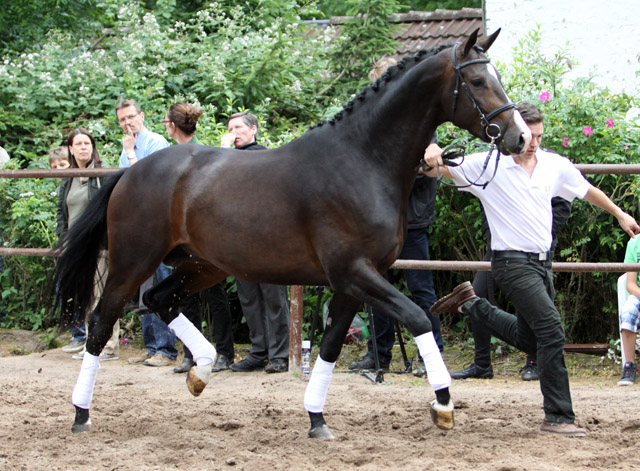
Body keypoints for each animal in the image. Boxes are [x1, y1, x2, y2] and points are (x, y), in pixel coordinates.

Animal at [55, 30, 532, 438]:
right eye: (477, 80)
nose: (520, 138)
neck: (362, 160)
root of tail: (131, 172)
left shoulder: (356, 282)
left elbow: (331, 346)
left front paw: (317, 419)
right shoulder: (354, 273)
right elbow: (417, 318)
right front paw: (443, 405)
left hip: (202, 265)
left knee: (158, 300)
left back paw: (202, 369)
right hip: (133, 262)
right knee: (101, 322)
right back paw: (80, 414)